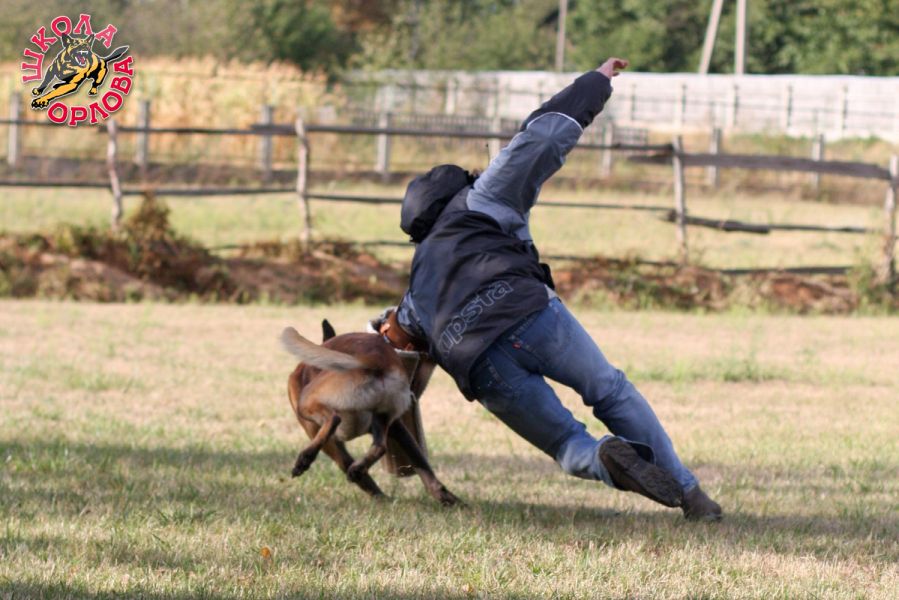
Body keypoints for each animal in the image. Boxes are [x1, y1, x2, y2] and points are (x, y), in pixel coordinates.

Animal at [281, 321, 459, 506]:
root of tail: (375, 358)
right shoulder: (395, 427)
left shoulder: (322, 437)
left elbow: (349, 466)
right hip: (386, 419)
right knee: (383, 448)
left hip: (308, 399)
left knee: (334, 419)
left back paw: (305, 460)